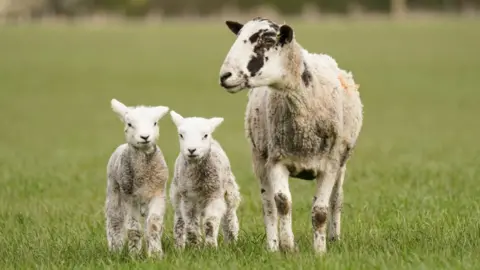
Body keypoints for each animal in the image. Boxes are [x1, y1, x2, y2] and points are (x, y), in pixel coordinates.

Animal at [105, 98, 171, 258]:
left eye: (155, 123)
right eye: (129, 124)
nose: (145, 137)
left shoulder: (158, 194)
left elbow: (153, 225)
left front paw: (156, 254)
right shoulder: (129, 197)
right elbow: (133, 228)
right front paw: (134, 255)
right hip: (113, 189)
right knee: (114, 219)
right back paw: (115, 249)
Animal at [169, 110, 242, 248]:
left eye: (205, 135)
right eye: (181, 135)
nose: (191, 150)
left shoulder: (215, 195)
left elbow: (210, 223)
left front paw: (210, 246)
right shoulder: (188, 198)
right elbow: (191, 224)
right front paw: (194, 246)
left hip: (229, 191)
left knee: (230, 217)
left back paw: (232, 242)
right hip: (177, 194)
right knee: (179, 221)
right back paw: (178, 247)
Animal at [218, 17, 364, 254]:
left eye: (266, 42)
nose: (225, 76)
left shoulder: (330, 165)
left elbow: (320, 211)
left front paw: (320, 251)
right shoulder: (277, 160)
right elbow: (282, 203)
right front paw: (287, 246)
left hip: (341, 163)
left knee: (336, 199)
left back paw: (334, 238)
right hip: (259, 157)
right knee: (268, 205)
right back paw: (272, 246)